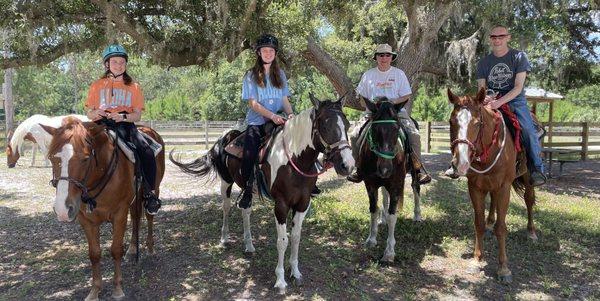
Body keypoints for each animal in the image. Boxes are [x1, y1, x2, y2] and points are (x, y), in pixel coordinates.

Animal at [41, 116, 165, 300]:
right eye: (51, 158)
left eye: (85, 158)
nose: (63, 210)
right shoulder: (86, 220)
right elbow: (94, 254)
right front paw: (94, 291)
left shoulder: (119, 214)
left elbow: (115, 250)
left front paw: (118, 289)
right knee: (136, 217)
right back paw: (132, 251)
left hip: (153, 190)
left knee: (149, 216)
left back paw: (150, 248)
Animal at [170, 95, 356, 292]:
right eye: (325, 125)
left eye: (347, 124)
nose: (347, 165)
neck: (294, 161)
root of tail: (226, 136)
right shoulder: (281, 205)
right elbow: (283, 240)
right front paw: (280, 280)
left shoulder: (303, 203)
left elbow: (296, 237)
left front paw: (295, 272)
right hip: (225, 182)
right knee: (226, 208)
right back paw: (224, 238)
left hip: (247, 189)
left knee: (245, 211)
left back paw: (249, 245)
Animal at [360, 98, 422, 260]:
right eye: (374, 129)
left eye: (396, 129)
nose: (385, 169)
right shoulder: (370, 185)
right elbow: (373, 209)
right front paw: (371, 239)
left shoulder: (395, 185)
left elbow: (393, 215)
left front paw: (389, 251)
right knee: (384, 194)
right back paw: (383, 219)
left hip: (414, 172)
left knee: (416, 188)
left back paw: (417, 216)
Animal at [446, 88, 540, 282]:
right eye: (452, 121)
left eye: (477, 123)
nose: (461, 163)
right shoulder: (475, 187)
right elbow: (478, 223)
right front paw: (477, 260)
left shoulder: (504, 187)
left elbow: (501, 228)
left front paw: (503, 268)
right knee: (493, 203)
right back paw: (490, 221)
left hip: (527, 177)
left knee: (529, 199)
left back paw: (531, 232)